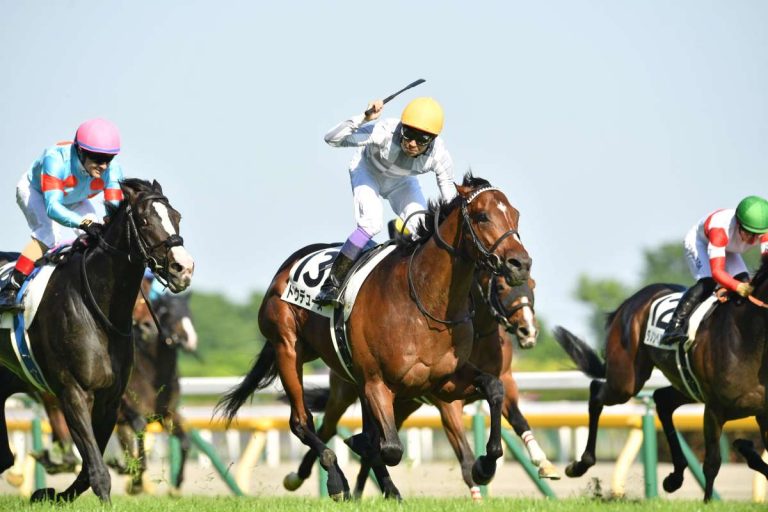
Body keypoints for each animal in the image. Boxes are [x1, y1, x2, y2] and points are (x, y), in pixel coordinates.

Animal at [216, 175, 528, 500]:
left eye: (515, 214)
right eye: (482, 216)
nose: (520, 263)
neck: (425, 302)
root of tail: (287, 267)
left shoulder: (443, 380)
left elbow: (494, 388)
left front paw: (485, 464)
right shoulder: (378, 382)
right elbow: (388, 447)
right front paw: (356, 454)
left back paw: (385, 488)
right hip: (288, 348)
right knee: (303, 422)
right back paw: (335, 480)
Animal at [282, 274, 560, 498]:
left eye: (532, 283)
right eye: (501, 286)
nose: (528, 331)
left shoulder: (506, 382)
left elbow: (518, 419)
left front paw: (543, 462)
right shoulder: (448, 404)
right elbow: (465, 456)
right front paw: (478, 482)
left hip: (401, 406)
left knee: (375, 441)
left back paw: (363, 490)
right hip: (346, 391)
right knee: (328, 427)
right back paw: (300, 477)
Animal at [552, 255, 768, 500]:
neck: (746, 339)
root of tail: (631, 301)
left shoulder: (762, 412)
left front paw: (746, 449)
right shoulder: (714, 409)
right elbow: (712, 463)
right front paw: (707, 502)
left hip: (686, 385)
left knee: (662, 400)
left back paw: (675, 476)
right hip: (625, 381)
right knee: (596, 392)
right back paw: (579, 464)